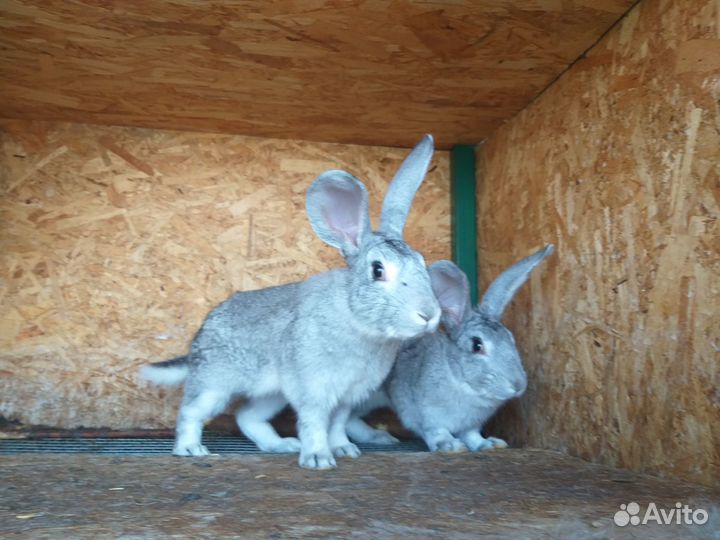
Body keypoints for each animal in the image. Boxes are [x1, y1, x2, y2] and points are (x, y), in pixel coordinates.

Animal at [139, 134, 444, 468]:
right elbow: (315, 423)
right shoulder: (314, 389)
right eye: (378, 270)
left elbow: (337, 424)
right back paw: (190, 449)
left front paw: (344, 450)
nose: (429, 314)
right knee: (191, 411)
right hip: (215, 384)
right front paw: (319, 458)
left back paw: (281, 445)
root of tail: (197, 344)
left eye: (421, 261)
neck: (356, 319)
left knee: (247, 416)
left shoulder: (346, 396)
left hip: (271, 393)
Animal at [346, 245, 556, 452]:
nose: (518, 385)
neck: (459, 380)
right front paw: (450, 445)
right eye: (477, 345)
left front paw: (487, 444)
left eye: (511, 338)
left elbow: (472, 436)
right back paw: (379, 437)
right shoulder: (425, 416)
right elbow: (436, 431)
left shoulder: (470, 426)